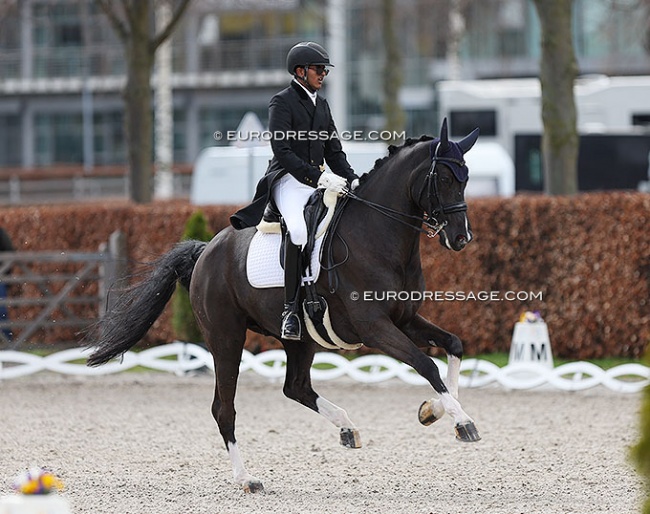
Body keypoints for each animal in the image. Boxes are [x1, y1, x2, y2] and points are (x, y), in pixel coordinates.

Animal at [86, 118, 478, 490]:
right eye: (444, 178)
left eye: (466, 178)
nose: (461, 238)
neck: (377, 236)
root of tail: (206, 250)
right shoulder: (375, 328)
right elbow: (425, 364)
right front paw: (463, 421)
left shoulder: (406, 319)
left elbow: (454, 346)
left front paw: (435, 411)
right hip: (226, 338)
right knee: (224, 407)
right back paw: (246, 479)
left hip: (300, 338)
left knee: (296, 387)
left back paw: (346, 428)